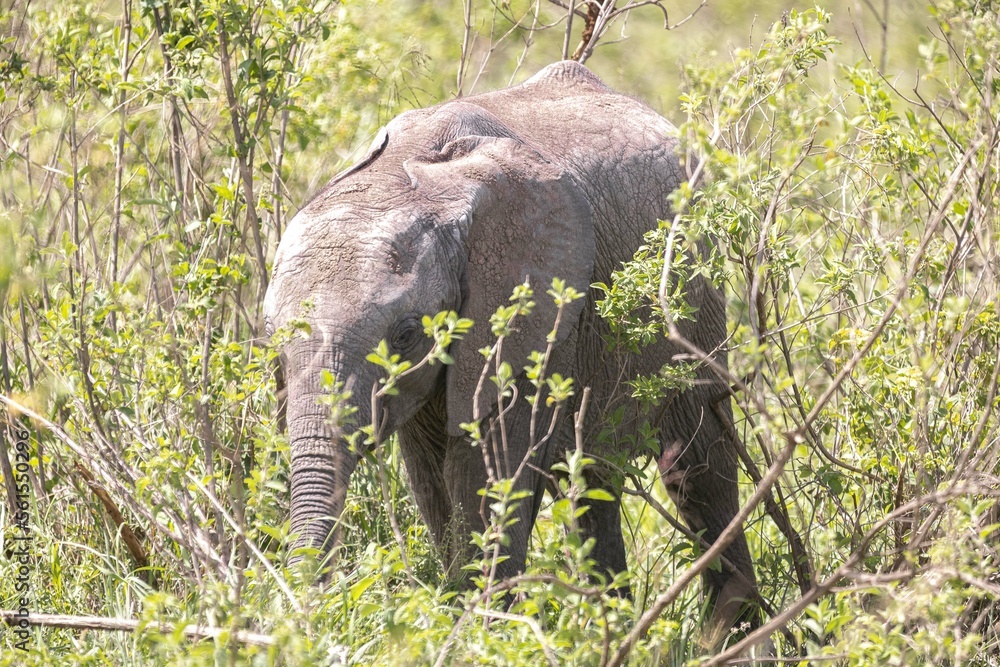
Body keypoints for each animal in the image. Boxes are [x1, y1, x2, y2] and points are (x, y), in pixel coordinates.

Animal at [264, 60, 758, 637]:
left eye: (406, 335)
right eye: (272, 342)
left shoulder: (525, 318)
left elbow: (487, 477)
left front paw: (481, 634)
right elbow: (433, 485)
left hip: (697, 301)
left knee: (700, 471)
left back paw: (733, 634)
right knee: (594, 483)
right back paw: (609, 626)